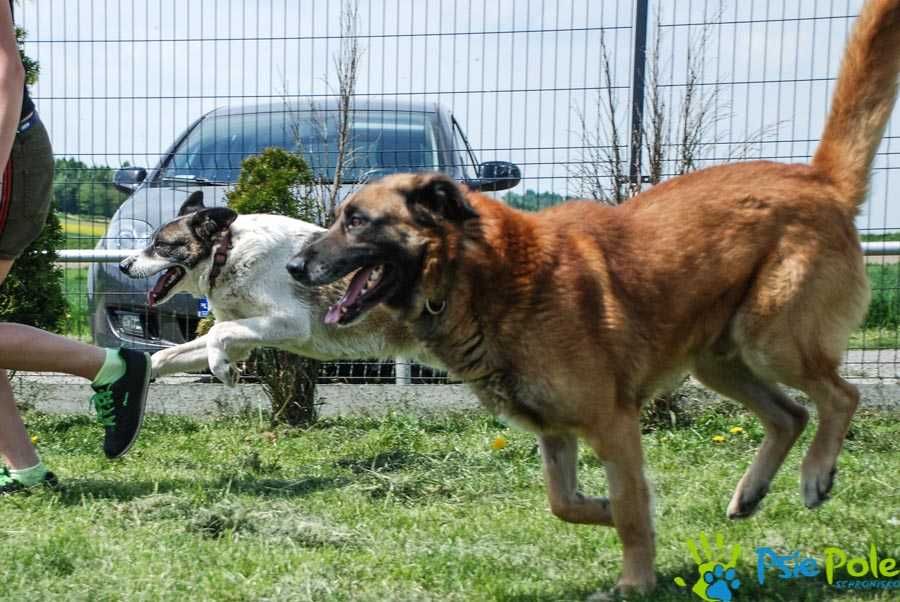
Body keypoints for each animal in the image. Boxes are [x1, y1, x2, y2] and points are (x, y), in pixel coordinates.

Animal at [288, 0, 900, 592]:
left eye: (356, 221)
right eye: (337, 217)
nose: (295, 265)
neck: (482, 276)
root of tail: (818, 181)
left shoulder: (614, 425)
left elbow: (630, 508)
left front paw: (635, 580)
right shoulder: (555, 433)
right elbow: (566, 503)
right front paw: (608, 509)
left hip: (770, 339)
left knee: (841, 396)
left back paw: (816, 475)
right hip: (718, 362)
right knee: (791, 414)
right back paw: (751, 492)